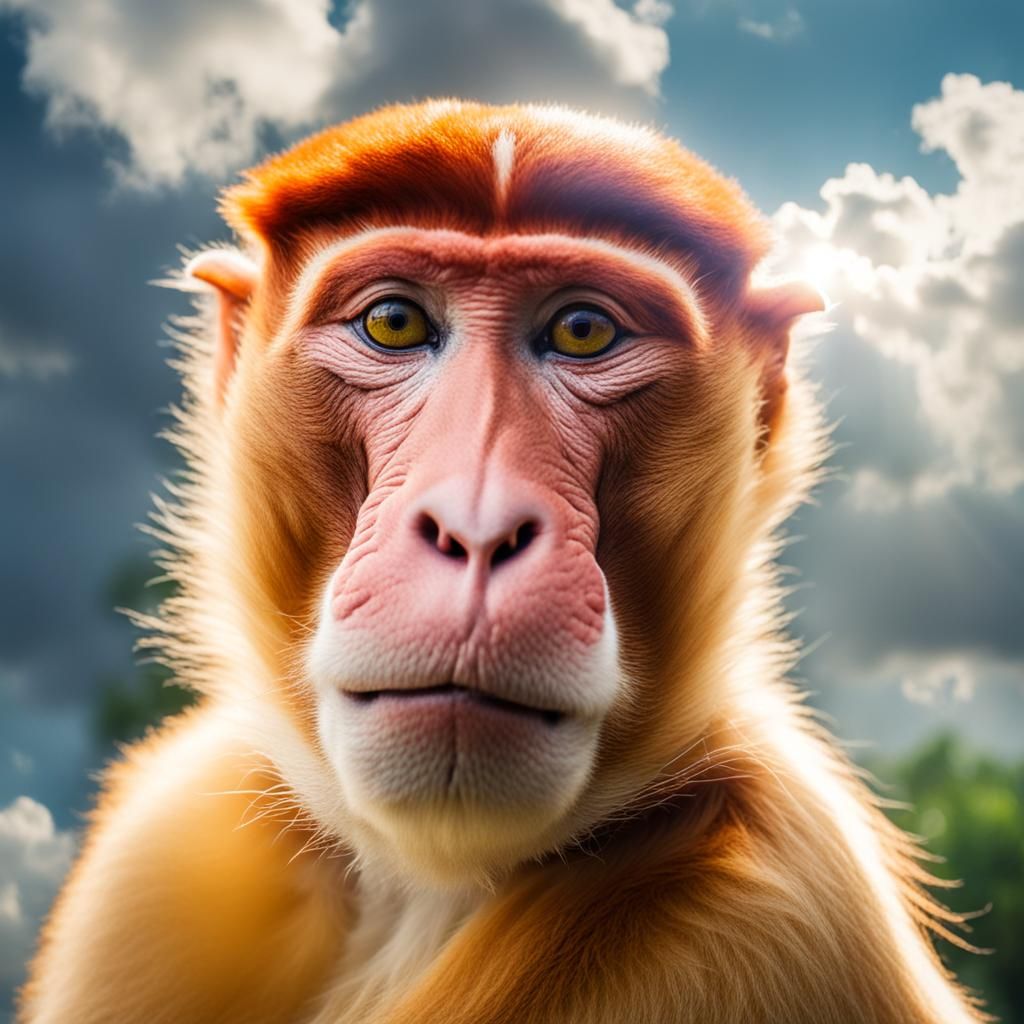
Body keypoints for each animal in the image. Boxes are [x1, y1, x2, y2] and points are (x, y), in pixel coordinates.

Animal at [19, 100, 985, 1024]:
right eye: (394, 322)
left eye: (584, 330)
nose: (477, 527)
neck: (424, 888)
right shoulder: (164, 858)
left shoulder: (776, 910)